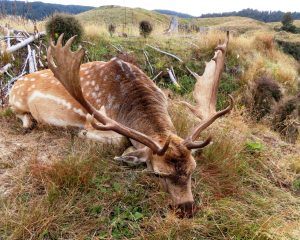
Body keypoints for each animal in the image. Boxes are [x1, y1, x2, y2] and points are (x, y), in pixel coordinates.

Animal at [8, 32, 232, 218]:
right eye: (158, 174)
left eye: (193, 169)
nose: (187, 209)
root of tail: (14, 83)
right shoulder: (95, 121)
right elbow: (120, 140)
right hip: (16, 101)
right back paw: (30, 123)